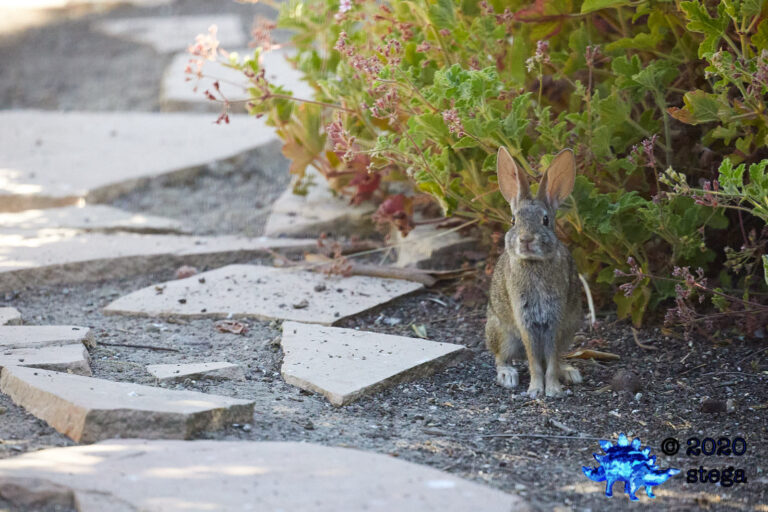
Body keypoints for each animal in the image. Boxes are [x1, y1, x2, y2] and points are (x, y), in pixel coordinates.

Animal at [485, 147, 583, 398]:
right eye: (513, 220)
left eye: (545, 220)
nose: (526, 239)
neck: (533, 262)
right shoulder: (525, 318)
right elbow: (534, 361)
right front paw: (536, 390)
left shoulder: (555, 318)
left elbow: (551, 359)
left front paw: (553, 390)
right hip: (502, 333)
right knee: (500, 357)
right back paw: (508, 376)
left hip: (570, 329)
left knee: (557, 358)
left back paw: (569, 372)